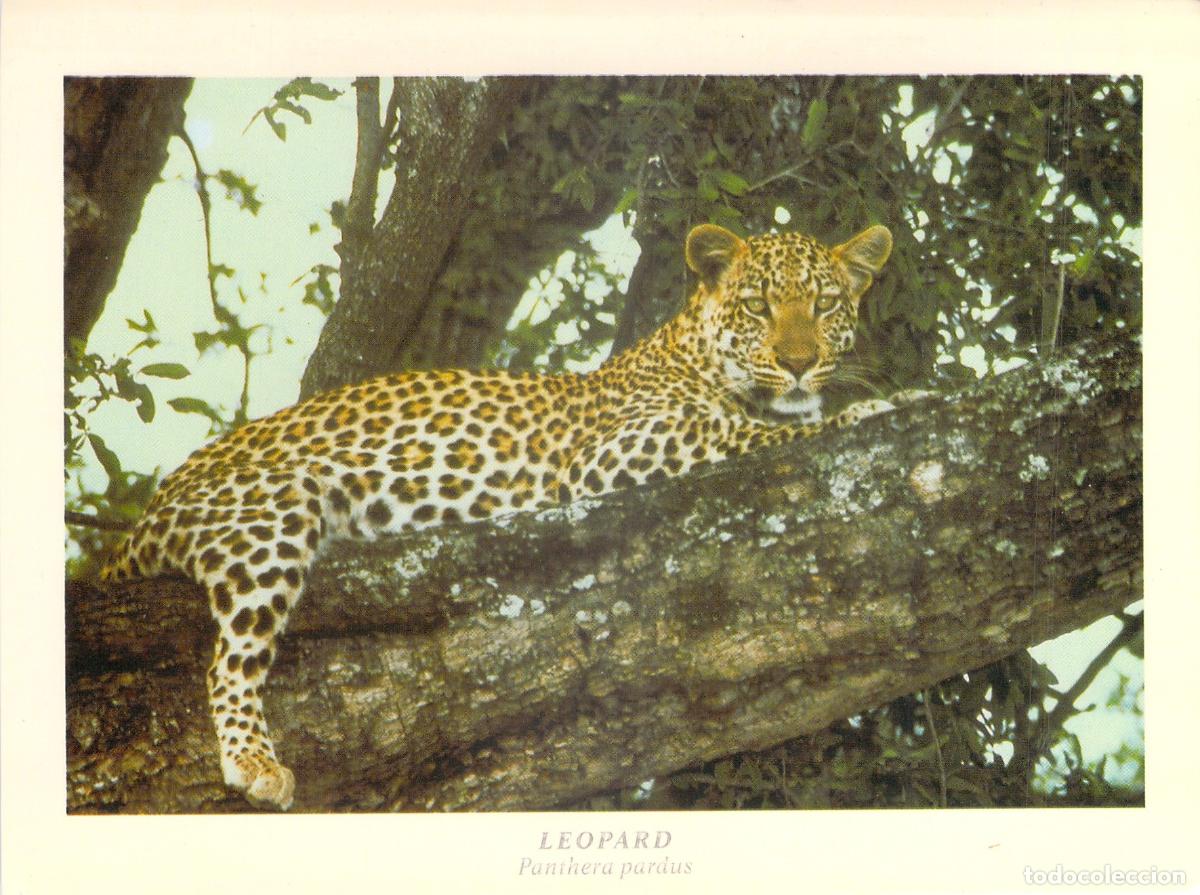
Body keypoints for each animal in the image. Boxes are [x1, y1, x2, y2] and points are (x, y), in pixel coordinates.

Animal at [101, 221, 914, 810]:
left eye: (826, 305)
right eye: (758, 307)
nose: (801, 363)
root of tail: (149, 512)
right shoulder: (615, 451)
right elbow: (754, 432)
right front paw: (880, 406)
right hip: (270, 509)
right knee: (230, 658)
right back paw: (252, 758)